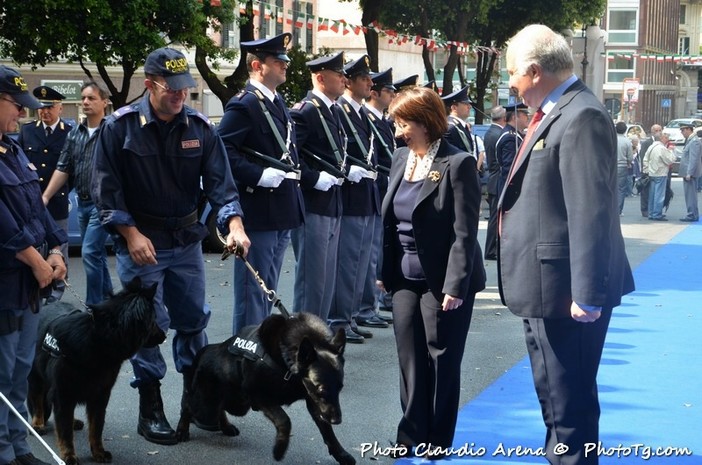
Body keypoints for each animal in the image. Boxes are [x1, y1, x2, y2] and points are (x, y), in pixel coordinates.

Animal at [27, 278, 162, 464]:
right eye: (154, 319)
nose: (164, 335)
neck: (99, 338)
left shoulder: (100, 395)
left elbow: (96, 428)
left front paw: (98, 452)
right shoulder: (63, 393)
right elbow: (65, 432)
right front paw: (69, 455)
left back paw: (73, 421)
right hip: (37, 377)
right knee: (38, 399)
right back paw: (37, 423)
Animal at [174, 312, 354, 464]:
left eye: (340, 388)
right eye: (321, 389)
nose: (337, 420)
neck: (286, 363)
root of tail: (202, 352)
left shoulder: (314, 403)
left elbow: (328, 431)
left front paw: (341, 454)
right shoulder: (260, 397)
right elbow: (284, 420)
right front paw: (280, 449)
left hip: (236, 404)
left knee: (220, 408)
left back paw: (225, 426)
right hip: (206, 407)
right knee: (188, 405)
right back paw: (181, 430)